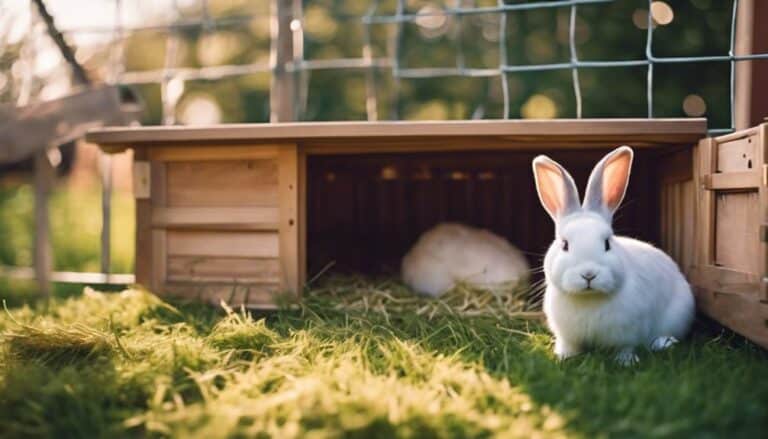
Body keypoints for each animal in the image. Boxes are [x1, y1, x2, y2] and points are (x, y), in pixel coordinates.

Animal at [531, 146, 695, 366]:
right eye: (564, 244)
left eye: (607, 243)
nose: (589, 274)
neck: (589, 299)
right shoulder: (568, 336)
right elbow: (570, 347)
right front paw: (564, 357)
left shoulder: (628, 333)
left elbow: (625, 348)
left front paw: (625, 362)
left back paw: (663, 343)